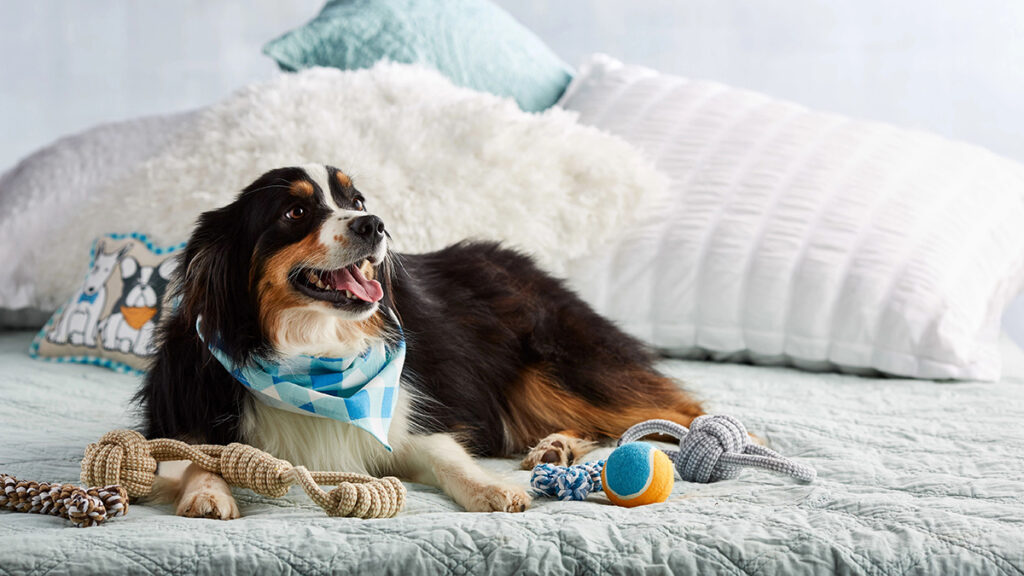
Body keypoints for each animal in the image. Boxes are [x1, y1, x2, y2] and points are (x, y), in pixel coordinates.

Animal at [138, 162, 704, 516]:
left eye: (356, 199)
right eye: (294, 212)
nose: (374, 224)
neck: (310, 353)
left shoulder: (406, 416)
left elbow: (445, 455)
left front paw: (492, 489)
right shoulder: (178, 413)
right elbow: (194, 453)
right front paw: (207, 495)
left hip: (559, 368)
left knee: (672, 412)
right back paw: (555, 447)